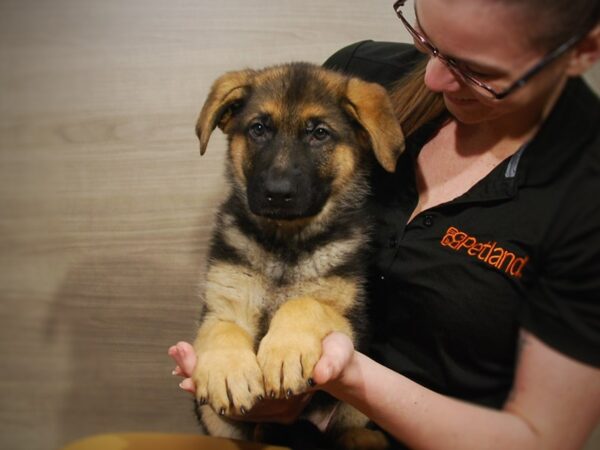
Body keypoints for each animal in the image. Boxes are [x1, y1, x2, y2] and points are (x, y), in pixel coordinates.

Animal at [195, 61, 406, 448]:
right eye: (258, 129)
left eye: (319, 134)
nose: (277, 193)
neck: (285, 244)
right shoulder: (222, 305)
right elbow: (222, 329)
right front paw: (226, 369)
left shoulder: (352, 322)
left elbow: (306, 303)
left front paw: (285, 351)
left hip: (354, 413)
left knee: (355, 431)